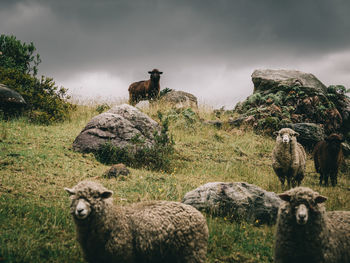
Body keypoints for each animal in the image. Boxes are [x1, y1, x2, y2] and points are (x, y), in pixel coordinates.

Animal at [64, 182, 209, 263]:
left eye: (95, 196)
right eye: (74, 196)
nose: (80, 210)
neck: (114, 220)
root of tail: (198, 214)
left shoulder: (123, 256)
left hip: (192, 252)